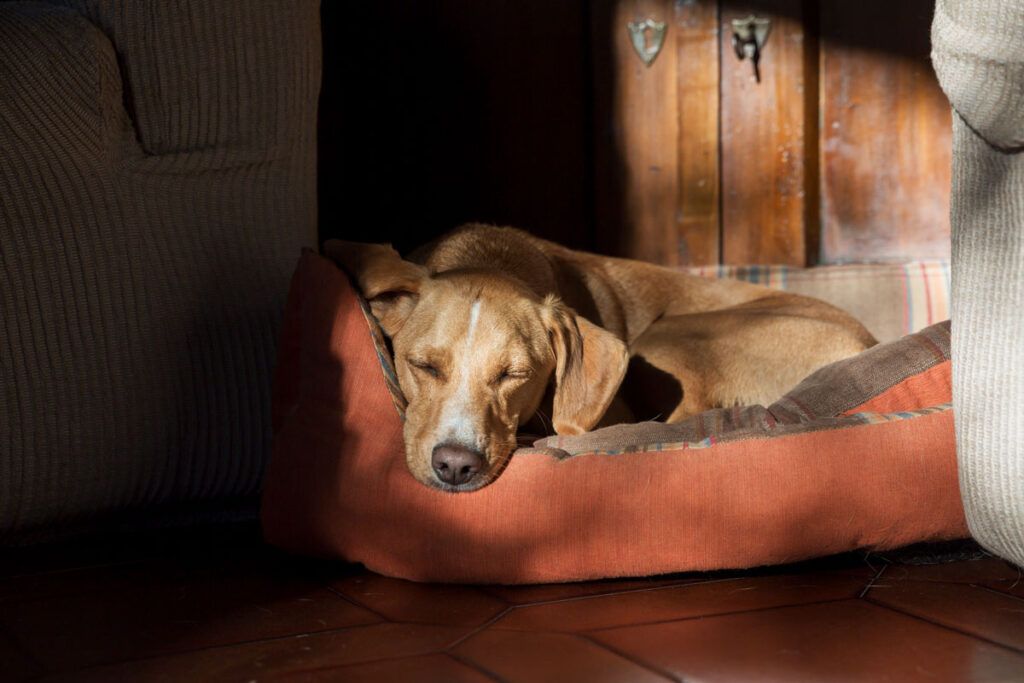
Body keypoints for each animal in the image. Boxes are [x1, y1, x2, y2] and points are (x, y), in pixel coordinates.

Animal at [325, 228, 872, 491]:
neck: (491, 256)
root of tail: (866, 342)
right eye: (425, 366)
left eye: (515, 375)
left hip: (667, 338)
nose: (456, 466)